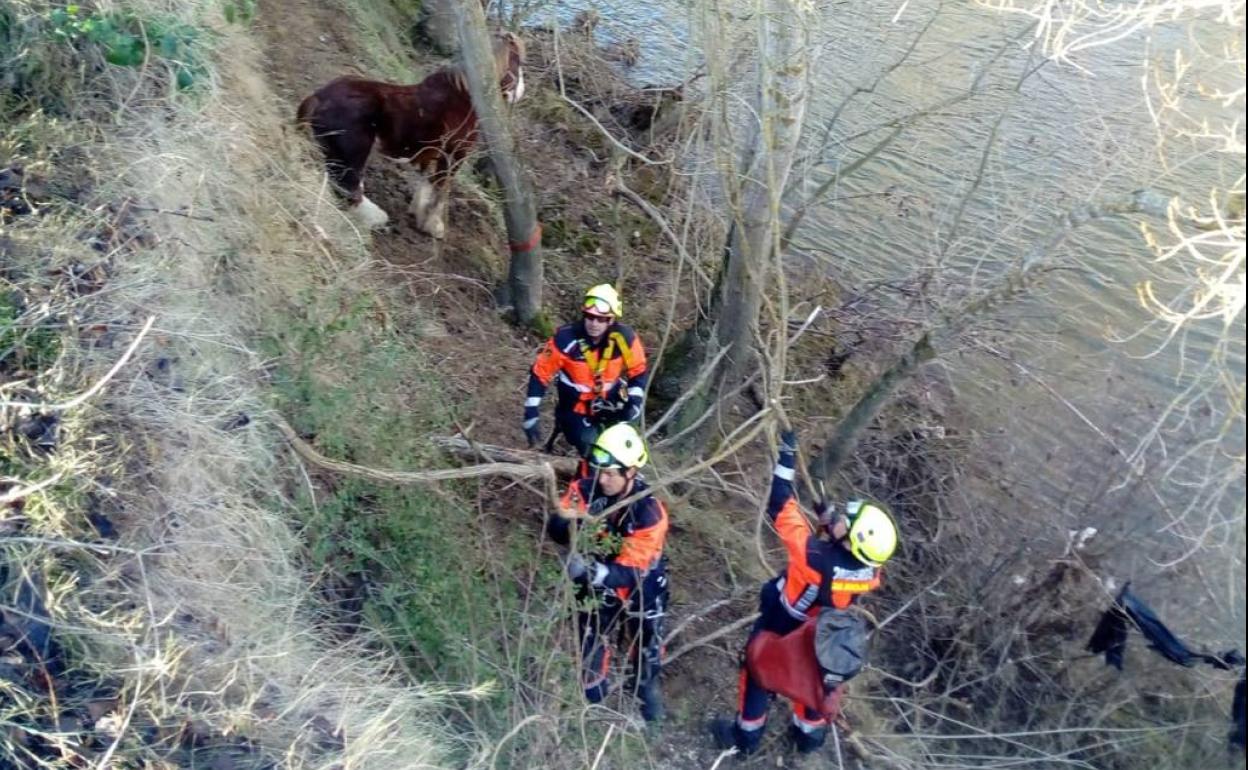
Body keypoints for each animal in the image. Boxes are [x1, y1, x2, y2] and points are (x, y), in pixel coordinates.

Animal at [297, 31, 525, 238]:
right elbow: (440, 191)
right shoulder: (453, 156)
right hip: (355, 151)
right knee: (348, 185)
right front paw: (433, 226)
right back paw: (374, 218)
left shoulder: (432, 154)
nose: (520, 93)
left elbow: (426, 184)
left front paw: (418, 213)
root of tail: (319, 96)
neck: (464, 96)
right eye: (519, 62)